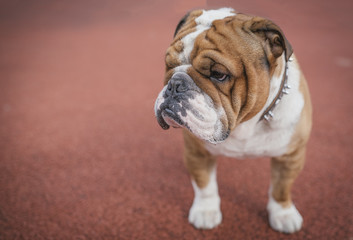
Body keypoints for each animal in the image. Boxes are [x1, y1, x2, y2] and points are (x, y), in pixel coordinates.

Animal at [154, 7, 310, 232]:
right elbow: (205, 185)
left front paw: (284, 214)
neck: (243, 124)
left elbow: (281, 188)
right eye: (169, 65)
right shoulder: (197, 152)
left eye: (219, 74)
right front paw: (206, 211)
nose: (175, 84)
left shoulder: (290, 156)